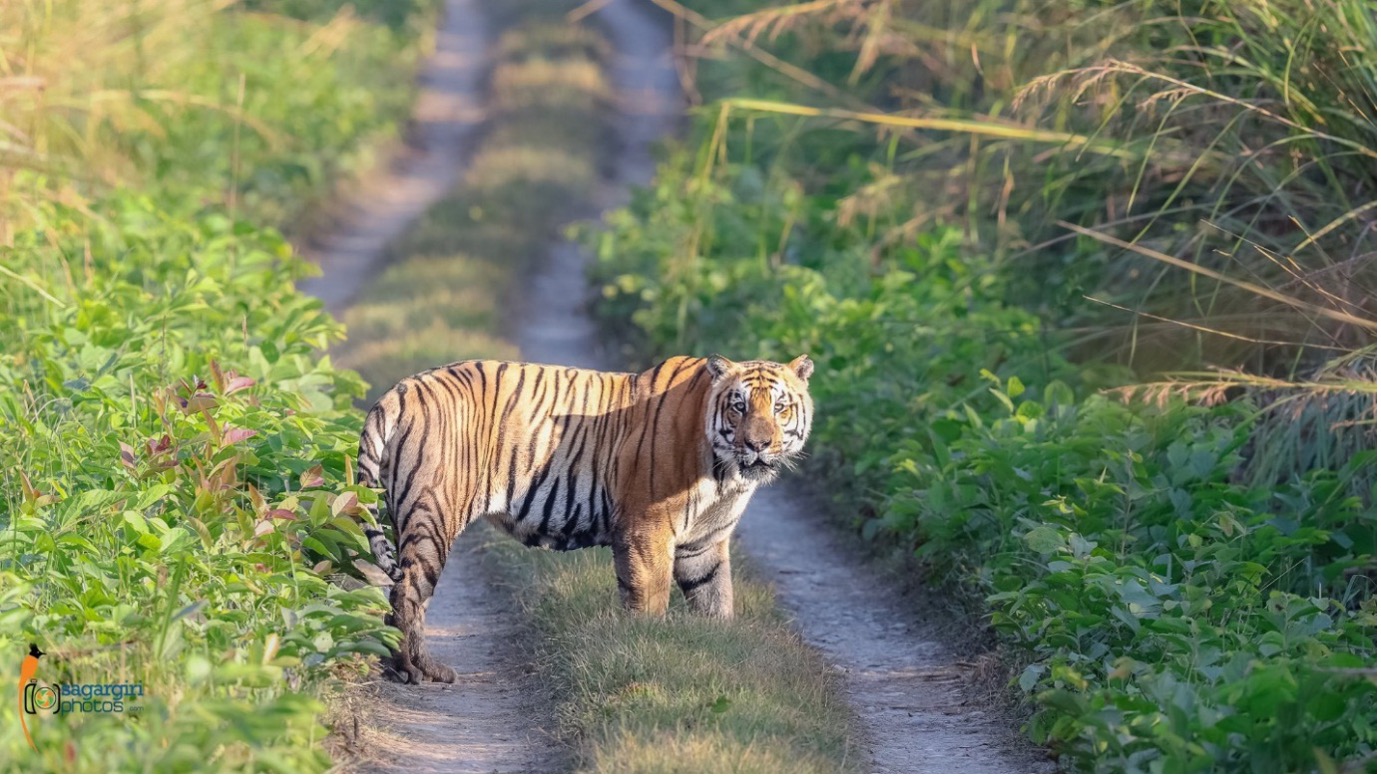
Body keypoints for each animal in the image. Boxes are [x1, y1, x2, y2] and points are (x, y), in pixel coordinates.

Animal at [355, 354, 814, 683]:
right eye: (739, 407)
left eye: (780, 408)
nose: (758, 444)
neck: (726, 474)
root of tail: (402, 389)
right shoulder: (649, 529)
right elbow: (651, 601)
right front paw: (648, 651)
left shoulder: (703, 545)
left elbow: (716, 602)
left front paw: (718, 657)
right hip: (434, 514)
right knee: (407, 592)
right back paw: (417, 670)